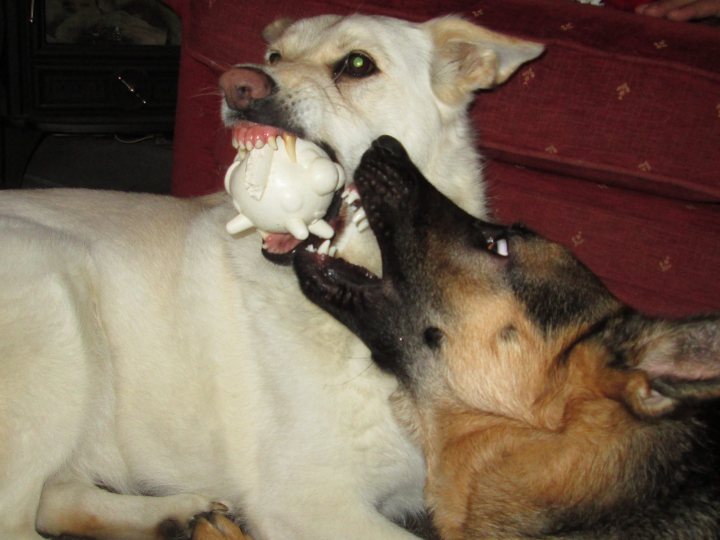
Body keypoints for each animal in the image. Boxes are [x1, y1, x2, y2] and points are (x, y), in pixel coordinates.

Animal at [0, 14, 540, 540]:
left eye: (358, 64)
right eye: (275, 57)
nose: (238, 84)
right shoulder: (308, 501)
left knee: (56, 500)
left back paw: (178, 518)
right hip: (56, 304)